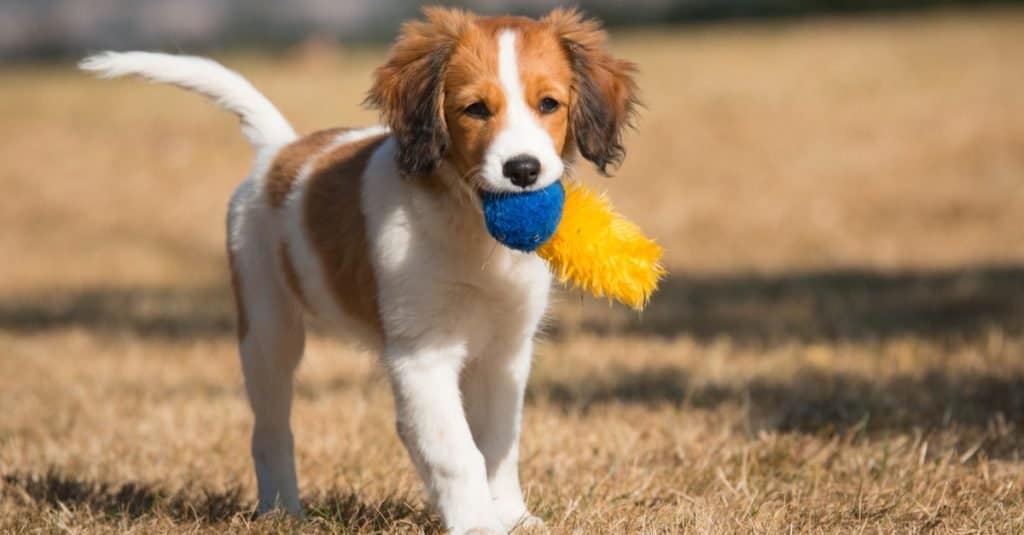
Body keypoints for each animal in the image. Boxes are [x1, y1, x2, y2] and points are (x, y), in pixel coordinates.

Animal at [79, 8, 634, 532]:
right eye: (476, 109)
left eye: (549, 104)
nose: (522, 170)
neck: (471, 227)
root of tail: (279, 151)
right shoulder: (421, 355)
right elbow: (456, 451)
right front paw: (477, 522)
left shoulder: (506, 353)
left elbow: (498, 444)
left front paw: (513, 517)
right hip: (267, 329)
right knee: (270, 430)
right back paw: (282, 512)